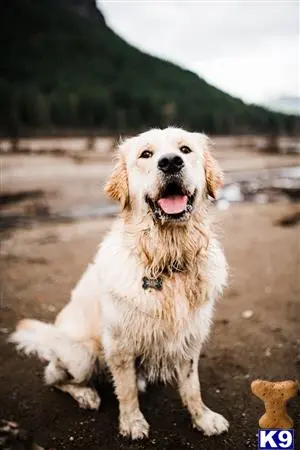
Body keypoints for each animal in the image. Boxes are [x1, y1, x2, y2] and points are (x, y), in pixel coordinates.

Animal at [9, 126, 230, 440]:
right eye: (146, 154)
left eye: (185, 150)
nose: (170, 163)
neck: (167, 257)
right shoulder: (119, 343)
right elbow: (125, 390)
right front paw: (132, 422)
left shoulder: (189, 339)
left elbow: (192, 387)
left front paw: (203, 419)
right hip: (82, 355)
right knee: (54, 376)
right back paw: (86, 394)